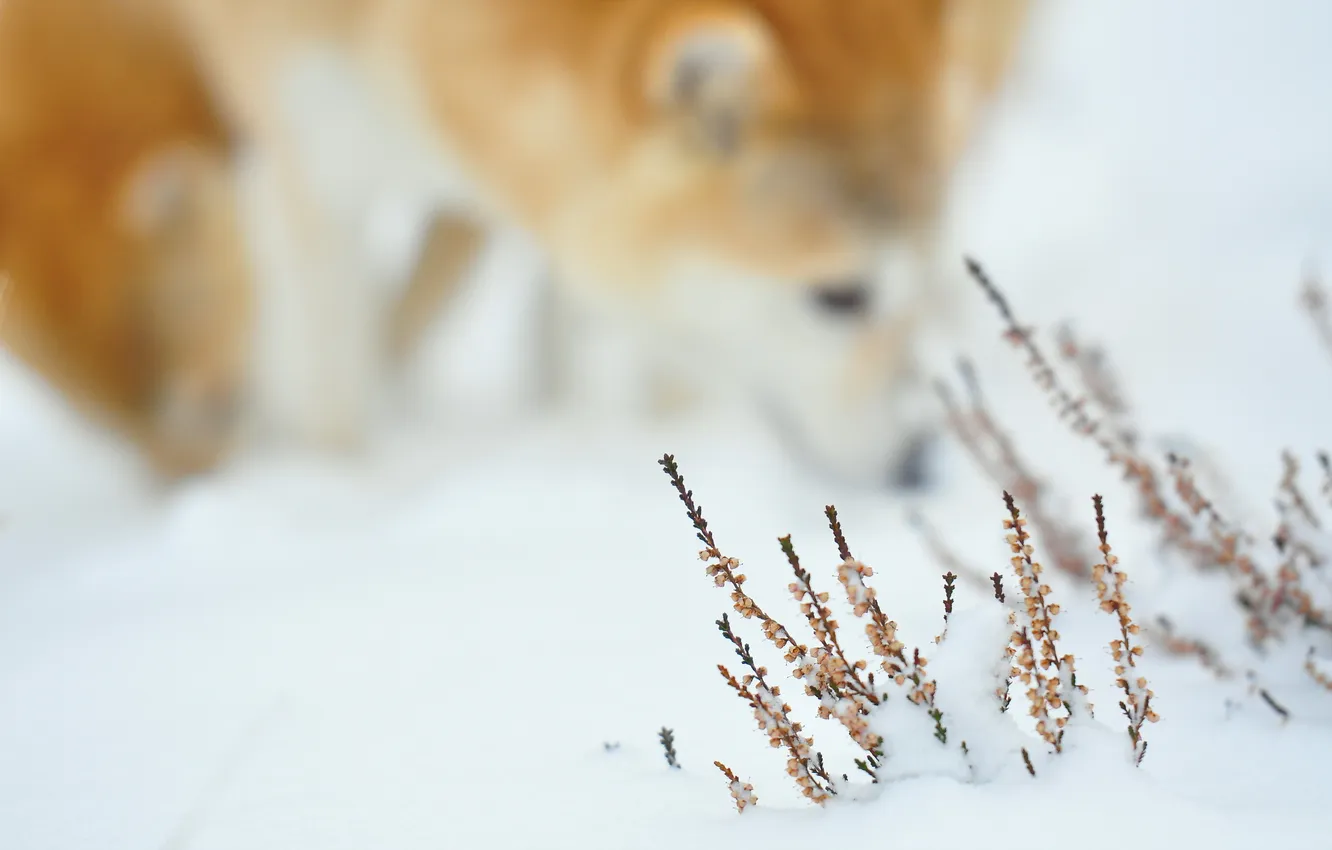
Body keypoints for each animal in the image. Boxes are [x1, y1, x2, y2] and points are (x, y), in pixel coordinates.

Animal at [166, 0, 1033, 484]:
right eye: (840, 295)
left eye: (896, 290)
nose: (919, 463)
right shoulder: (309, 156)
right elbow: (336, 399)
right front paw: (338, 495)